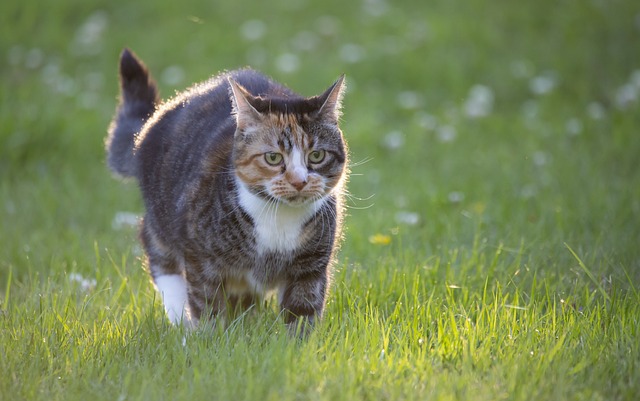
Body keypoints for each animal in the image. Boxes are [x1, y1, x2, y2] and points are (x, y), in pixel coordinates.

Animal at [104, 47, 348, 334]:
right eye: (273, 158)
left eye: (317, 155)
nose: (299, 181)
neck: (278, 219)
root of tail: (154, 120)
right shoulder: (200, 257)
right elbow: (207, 305)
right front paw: (211, 337)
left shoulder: (311, 264)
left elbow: (302, 312)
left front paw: (296, 343)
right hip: (162, 217)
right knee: (158, 252)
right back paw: (181, 320)